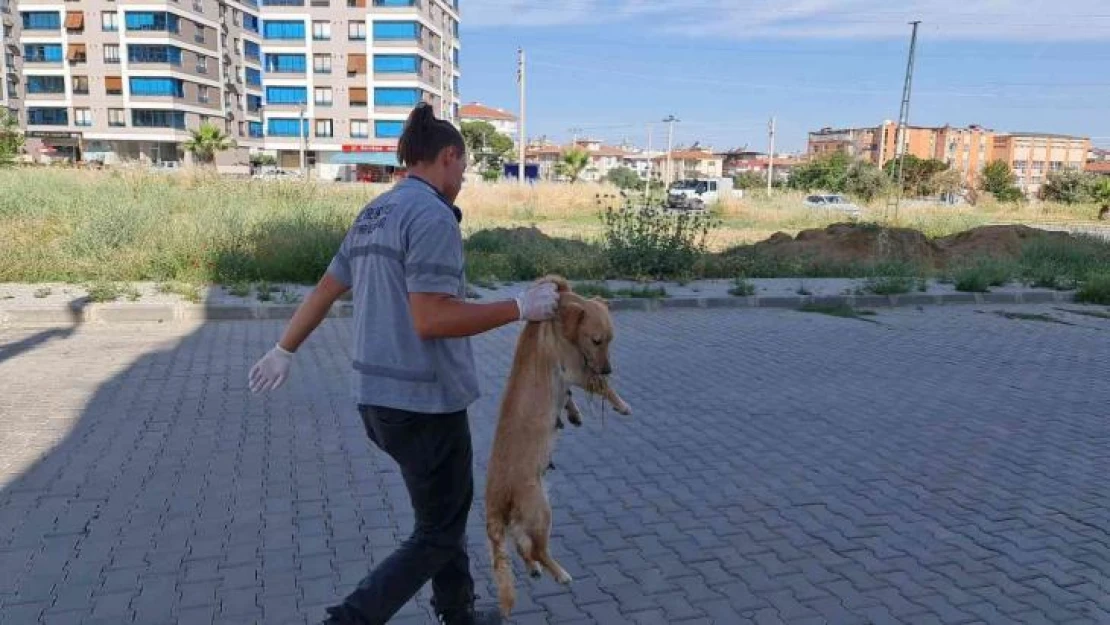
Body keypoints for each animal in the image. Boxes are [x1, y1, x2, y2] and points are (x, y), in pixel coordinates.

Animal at [486, 277, 634, 617]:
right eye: (596, 340)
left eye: (611, 340)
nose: (608, 368)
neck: (552, 321)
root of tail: (496, 502)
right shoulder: (576, 369)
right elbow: (601, 386)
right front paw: (621, 404)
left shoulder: (571, 377)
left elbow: (568, 396)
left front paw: (574, 413)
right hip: (541, 510)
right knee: (538, 548)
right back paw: (559, 572)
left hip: (526, 516)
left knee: (521, 544)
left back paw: (533, 568)